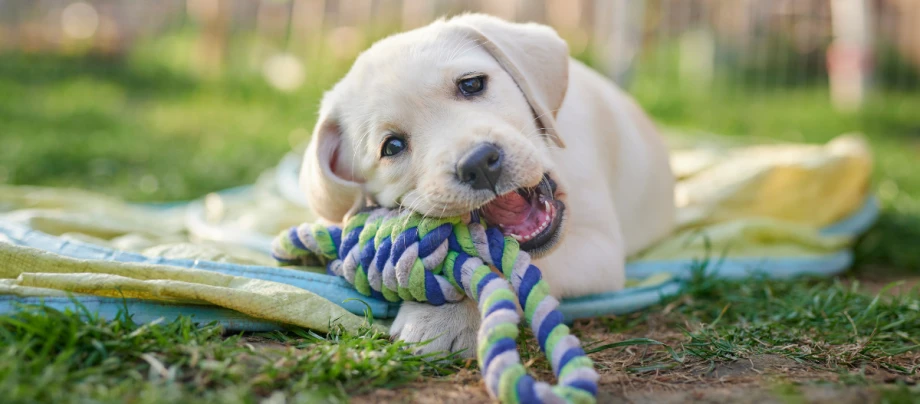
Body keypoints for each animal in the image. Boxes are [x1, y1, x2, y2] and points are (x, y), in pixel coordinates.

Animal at [302, 13, 676, 356]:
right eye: (392, 146)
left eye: (471, 84)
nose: (479, 164)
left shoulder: (600, 248)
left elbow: (501, 266)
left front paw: (443, 317)